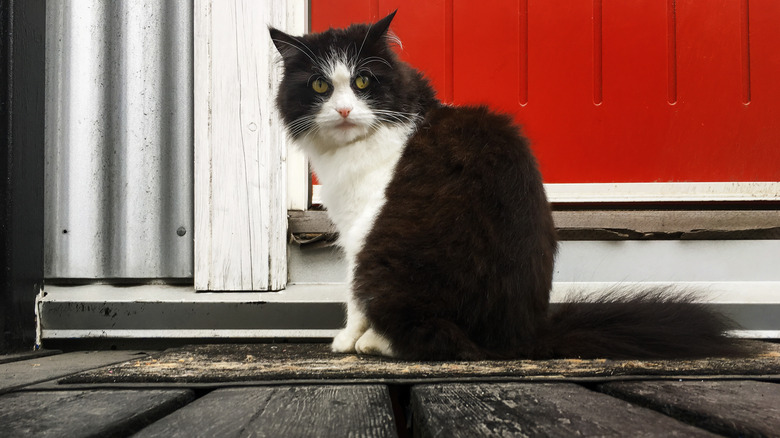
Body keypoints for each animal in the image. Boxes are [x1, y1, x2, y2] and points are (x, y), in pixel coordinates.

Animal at [272, 12, 748, 362]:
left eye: (362, 82)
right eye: (320, 85)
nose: (345, 110)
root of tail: (521, 336)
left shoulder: (362, 227)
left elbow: (353, 299)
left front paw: (347, 339)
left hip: (388, 256)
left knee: (441, 338)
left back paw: (376, 344)